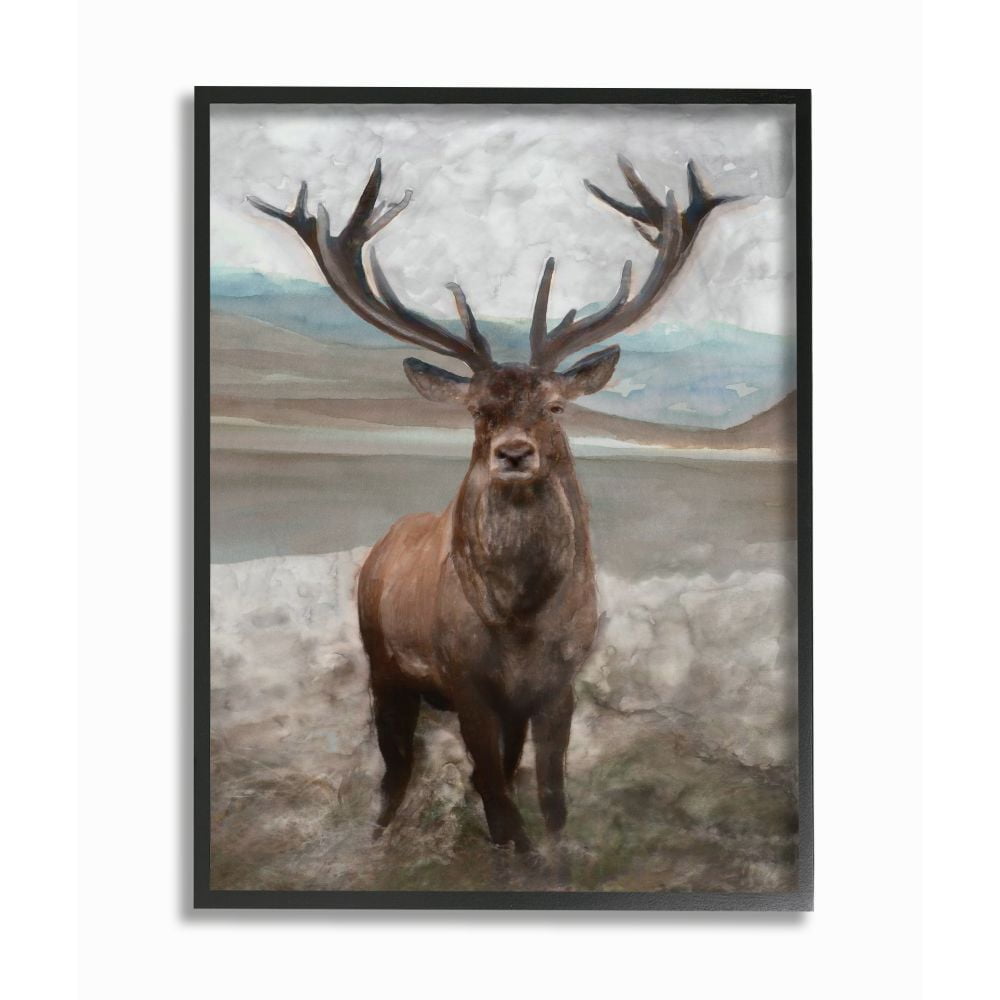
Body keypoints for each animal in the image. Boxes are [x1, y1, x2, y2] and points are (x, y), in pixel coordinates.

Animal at [249, 154, 734, 854]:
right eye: (479, 410)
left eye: (555, 406)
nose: (513, 453)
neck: (520, 620)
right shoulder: (466, 682)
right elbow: (501, 809)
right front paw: (511, 852)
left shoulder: (558, 684)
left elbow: (550, 796)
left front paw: (555, 852)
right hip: (383, 664)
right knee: (397, 768)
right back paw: (378, 836)